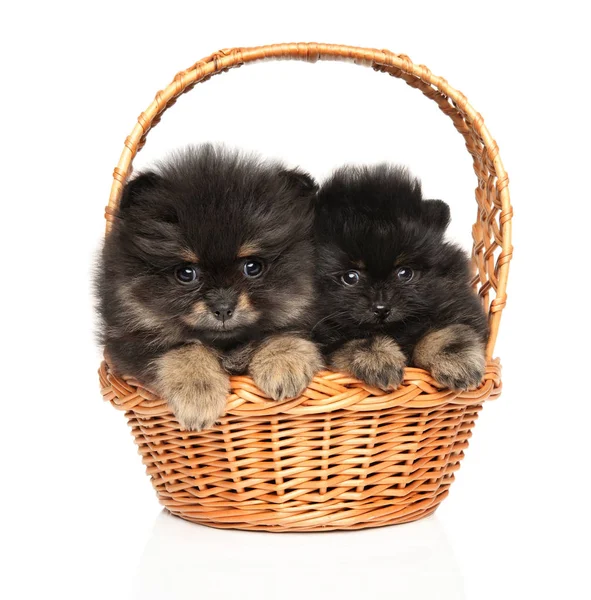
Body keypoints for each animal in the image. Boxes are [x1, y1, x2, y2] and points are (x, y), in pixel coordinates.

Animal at [96, 145, 324, 432]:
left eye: (252, 267)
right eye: (186, 273)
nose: (223, 308)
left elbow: (282, 330)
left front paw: (284, 363)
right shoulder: (129, 341)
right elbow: (184, 349)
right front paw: (197, 394)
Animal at [314, 162, 490, 392]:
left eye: (405, 273)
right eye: (350, 277)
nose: (381, 308)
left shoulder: (454, 305)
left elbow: (446, 334)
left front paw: (458, 363)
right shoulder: (328, 337)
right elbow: (359, 341)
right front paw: (379, 360)